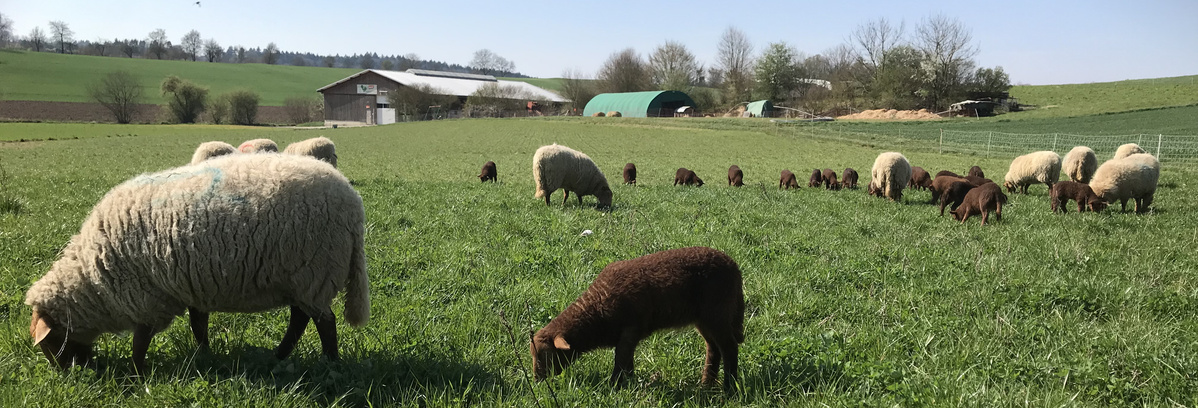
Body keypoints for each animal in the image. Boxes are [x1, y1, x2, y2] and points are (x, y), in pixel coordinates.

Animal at [24, 154, 369, 373]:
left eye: (50, 342)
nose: (69, 375)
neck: (92, 284)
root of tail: (353, 203)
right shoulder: (192, 284)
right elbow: (198, 325)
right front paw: (204, 355)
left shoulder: (148, 297)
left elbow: (140, 340)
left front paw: (138, 373)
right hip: (301, 279)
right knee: (300, 320)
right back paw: (279, 356)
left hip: (314, 272)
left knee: (324, 322)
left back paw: (330, 363)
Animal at [531, 247, 744, 390]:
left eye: (546, 356)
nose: (537, 382)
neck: (596, 312)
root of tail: (734, 267)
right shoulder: (628, 335)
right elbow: (627, 361)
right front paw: (629, 384)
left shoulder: (630, 329)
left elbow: (620, 359)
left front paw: (615, 386)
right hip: (705, 319)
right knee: (713, 348)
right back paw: (706, 385)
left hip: (718, 313)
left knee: (729, 347)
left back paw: (729, 388)